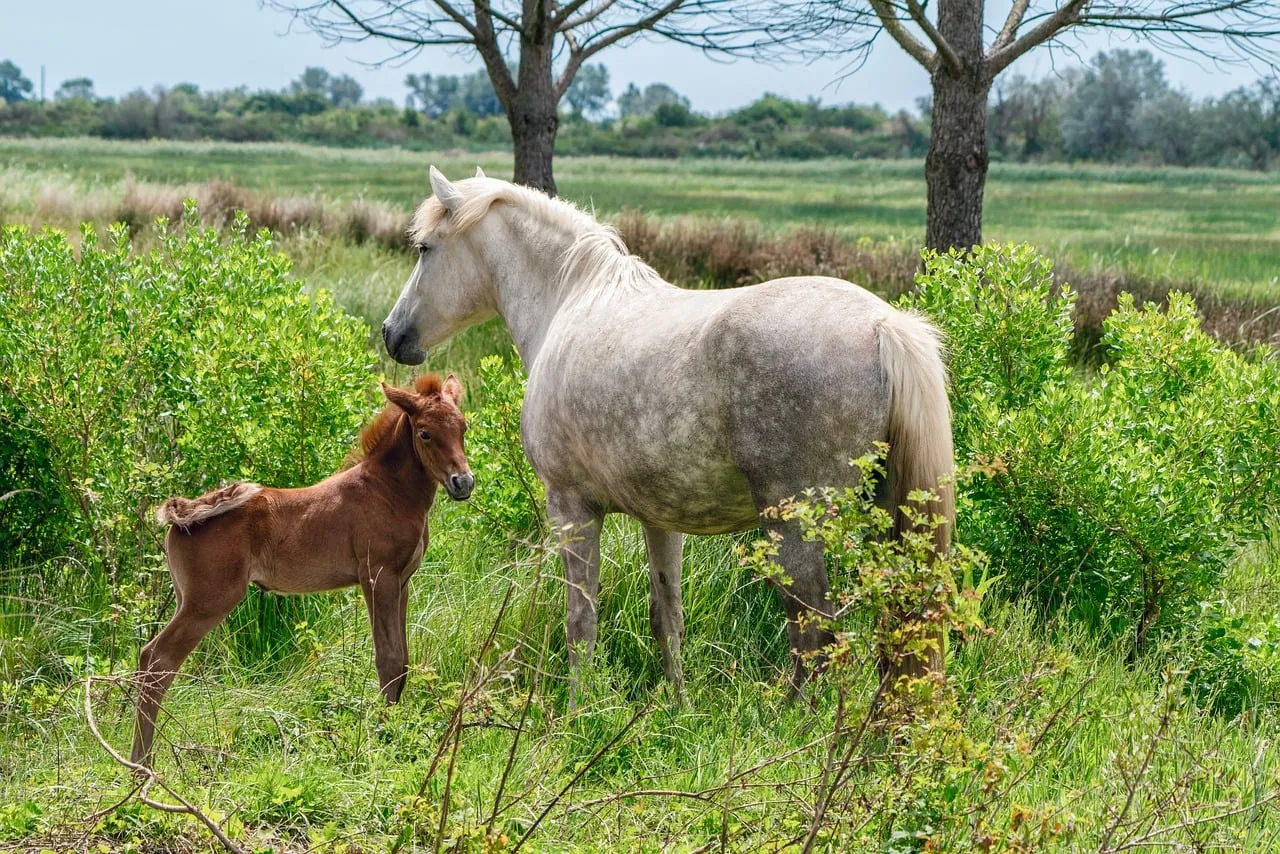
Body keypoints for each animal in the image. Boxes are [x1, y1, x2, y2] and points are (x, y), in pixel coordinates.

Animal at [130, 374, 474, 766]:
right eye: (425, 433)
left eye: (463, 427)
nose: (463, 482)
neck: (389, 491)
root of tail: (180, 518)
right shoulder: (377, 576)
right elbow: (388, 660)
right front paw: (384, 740)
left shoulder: (403, 581)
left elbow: (403, 661)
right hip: (210, 600)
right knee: (158, 659)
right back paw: (141, 767)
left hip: (185, 598)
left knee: (150, 658)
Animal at [381, 167, 954, 699]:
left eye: (425, 248)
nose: (392, 334)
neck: (571, 301)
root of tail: (882, 326)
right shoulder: (661, 520)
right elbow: (668, 617)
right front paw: (676, 704)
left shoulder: (570, 508)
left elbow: (580, 623)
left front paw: (574, 712)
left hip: (793, 527)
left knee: (815, 637)